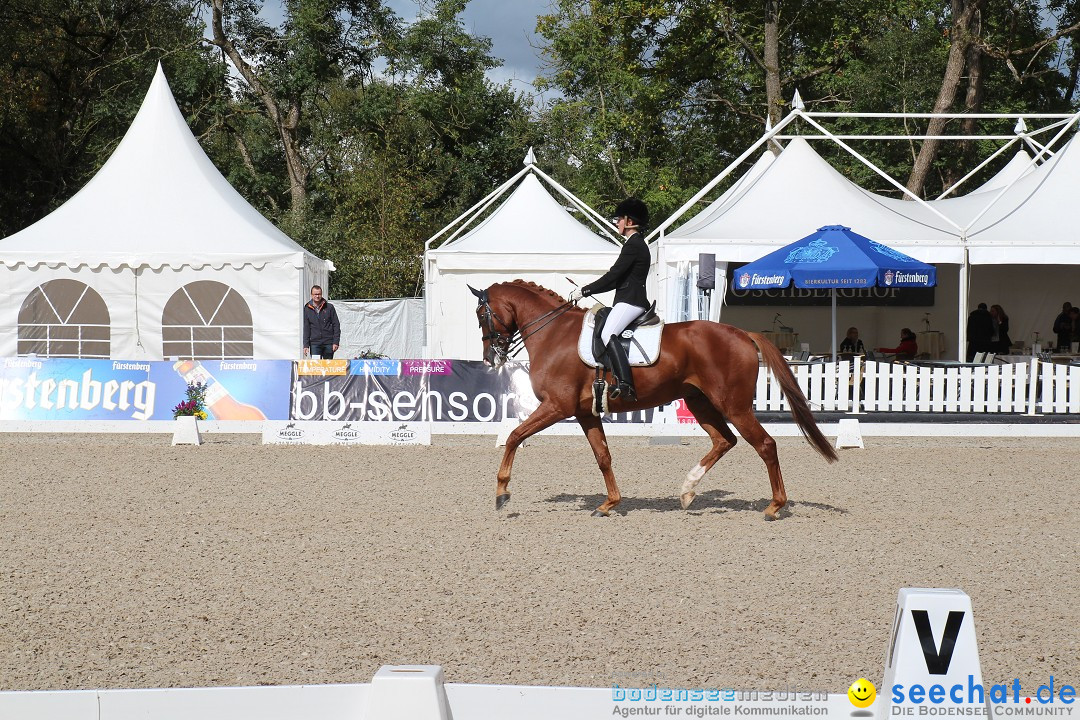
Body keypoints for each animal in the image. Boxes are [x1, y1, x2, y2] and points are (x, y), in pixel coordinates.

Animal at [477, 280, 838, 518]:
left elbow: (514, 436)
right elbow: (603, 456)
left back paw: (775, 506)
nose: (490, 358)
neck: (554, 334)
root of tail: (742, 334)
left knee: (765, 445)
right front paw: (610, 503)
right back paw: (687, 491)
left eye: (482, 314)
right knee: (724, 441)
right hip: (700, 402)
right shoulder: (584, 413)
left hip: (733, 406)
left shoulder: (556, 406)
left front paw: (502, 492)